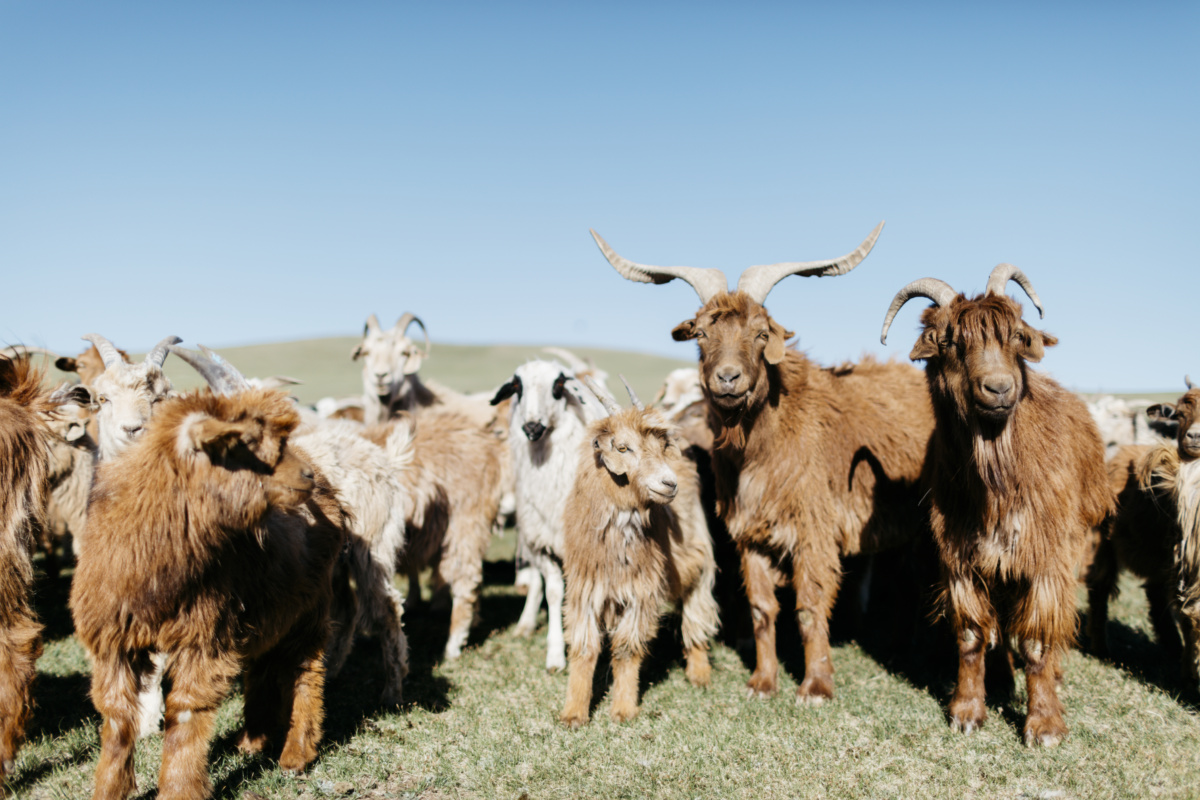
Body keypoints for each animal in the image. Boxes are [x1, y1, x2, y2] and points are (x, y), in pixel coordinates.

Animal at [70, 386, 349, 800]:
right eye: (244, 443)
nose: (306, 476)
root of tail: (332, 493)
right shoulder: (112, 640)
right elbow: (117, 715)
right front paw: (110, 788)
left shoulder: (203, 637)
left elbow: (184, 712)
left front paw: (179, 788)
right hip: (268, 610)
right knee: (262, 665)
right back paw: (253, 740)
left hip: (311, 608)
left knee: (305, 672)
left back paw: (296, 753)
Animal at [559, 378, 718, 728]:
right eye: (623, 447)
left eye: (660, 448)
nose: (669, 483)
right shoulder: (585, 589)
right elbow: (584, 648)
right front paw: (574, 713)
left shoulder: (641, 591)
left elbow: (626, 649)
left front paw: (623, 709)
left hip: (698, 557)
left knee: (696, 607)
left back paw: (700, 672)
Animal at [592, 223, 936, 704]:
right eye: (701, 334)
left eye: (759, 333)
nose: (728, 378)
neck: (767, 444)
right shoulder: (750, 534)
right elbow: (761, 608)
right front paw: (763, 681)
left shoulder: (813, 531)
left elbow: (809, 606)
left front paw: (816, 686)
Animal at [880, 264, 1113, 746]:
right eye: (951, 342)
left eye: (1015, 338)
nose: (999, 388)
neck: (999, 482)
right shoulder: (962, 560)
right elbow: (971, 636)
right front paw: (967, 711)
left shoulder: (1044, 558)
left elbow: (1038, 640)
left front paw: (1044, 724)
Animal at [1087, 377, 1200, 688]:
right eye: (1179, 414)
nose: (1195, 437)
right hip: (1101, 541)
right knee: (1100, 586)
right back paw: (1102, 649)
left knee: (1155, 593)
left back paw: (1172, 648)